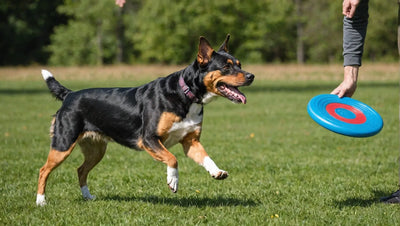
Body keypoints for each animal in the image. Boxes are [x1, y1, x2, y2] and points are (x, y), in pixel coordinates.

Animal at [37, 34, 255, 206]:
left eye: (239, 65)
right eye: (226, 67)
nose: (251, 76)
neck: (185, 95)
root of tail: (70, 95)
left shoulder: (190, 141)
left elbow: (206, 157)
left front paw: (217, 172)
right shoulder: (149, 138)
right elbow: (172, 159)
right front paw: (173, 181)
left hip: (95, 149)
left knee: (81, 170)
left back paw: (88, 197)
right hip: (63, 144)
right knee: (43, 170)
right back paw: (41, 202)